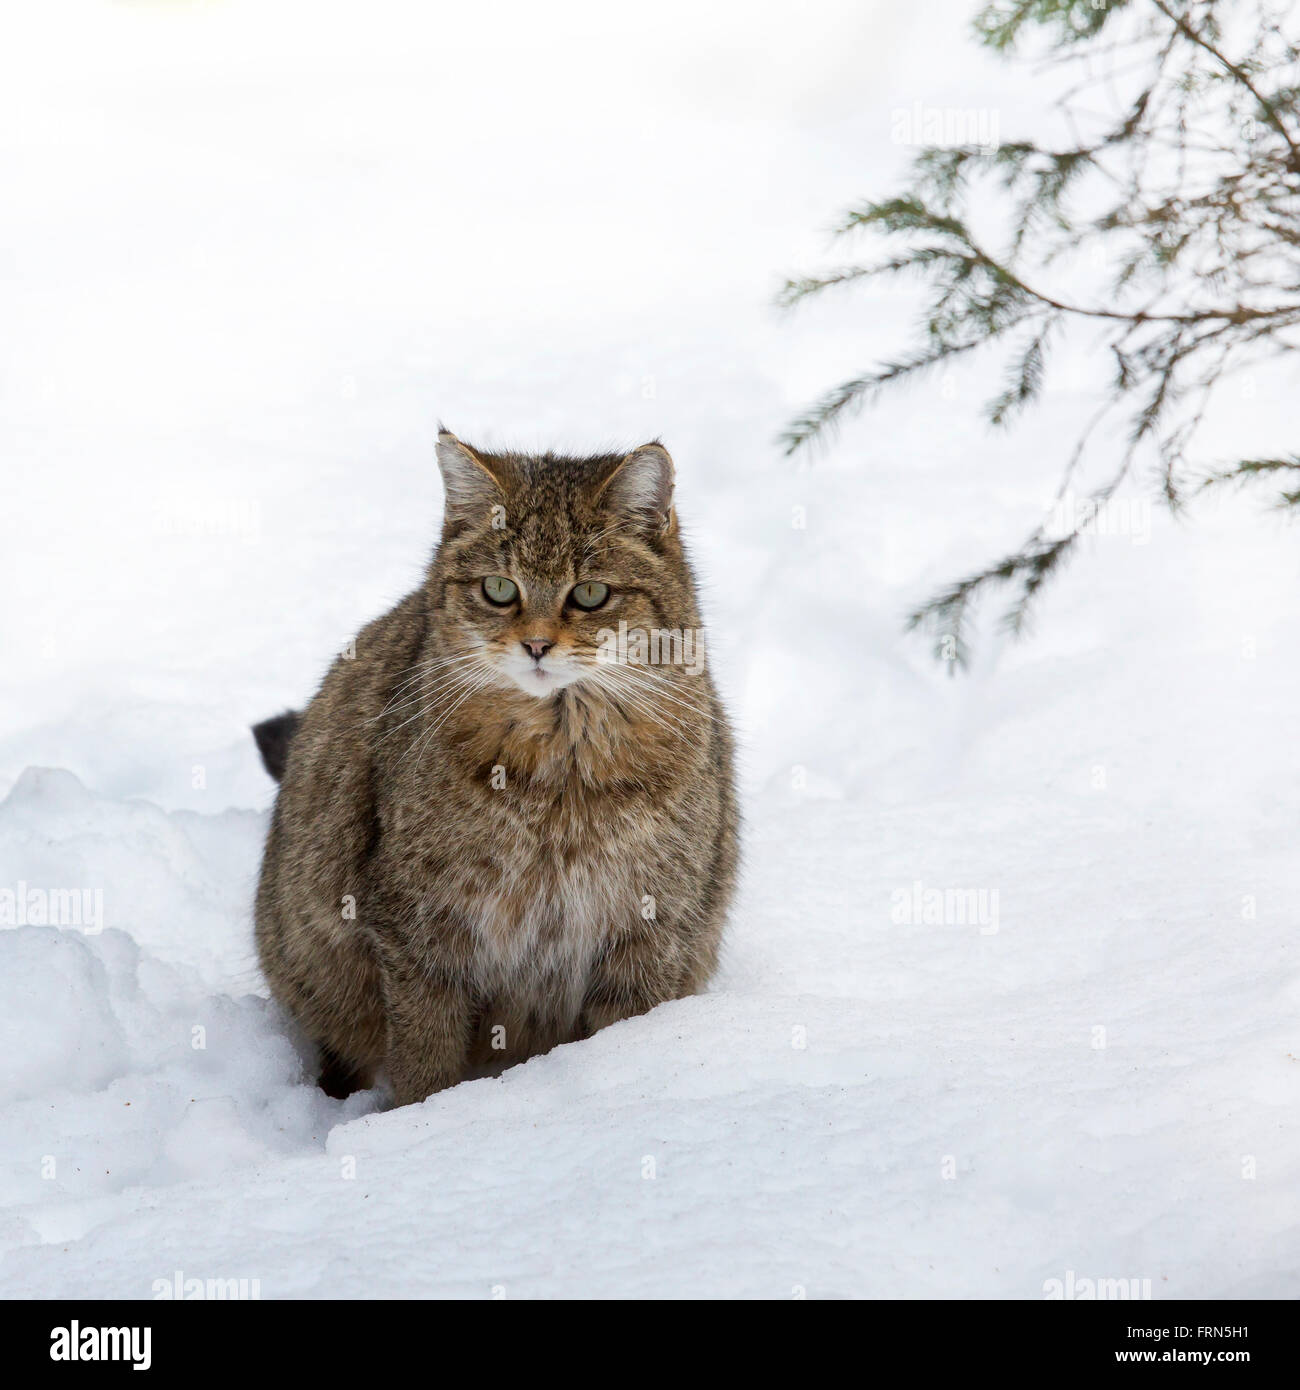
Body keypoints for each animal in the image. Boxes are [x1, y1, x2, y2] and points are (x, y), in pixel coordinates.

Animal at [254, 428, 739, 1100]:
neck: (561, 767)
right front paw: (423, 1118)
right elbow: (425, 1058)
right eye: (500, 589)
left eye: (590, 593)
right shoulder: (418, 929)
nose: (536, 644)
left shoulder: (654, 927)